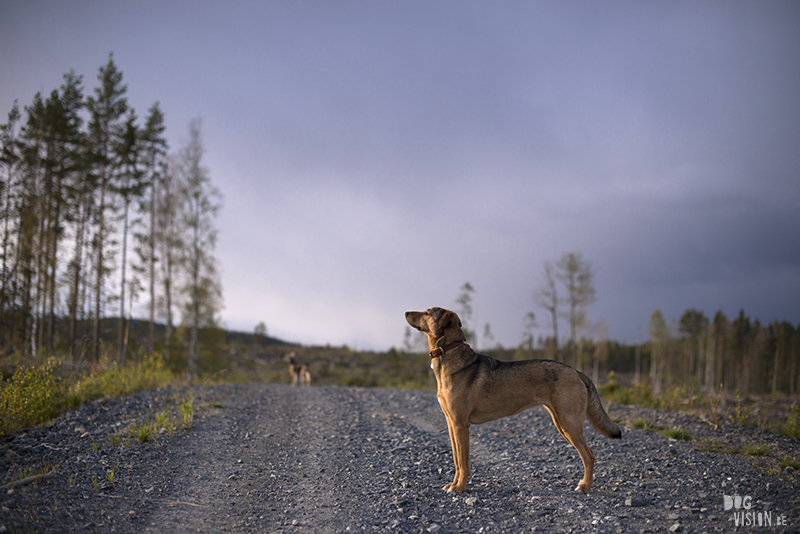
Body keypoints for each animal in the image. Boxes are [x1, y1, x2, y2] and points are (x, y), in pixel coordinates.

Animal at [404, 308, 620, 496]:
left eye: (427, 312)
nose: (405, 312)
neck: (448, 354)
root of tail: (577, 372)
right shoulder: (452, 425)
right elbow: (457, 461)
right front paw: (453, 485)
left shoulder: (460, 425)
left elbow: (464, 463)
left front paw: (459, 488)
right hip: (561, 423)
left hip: (569, 423)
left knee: (589, 455)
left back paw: (584, 487)